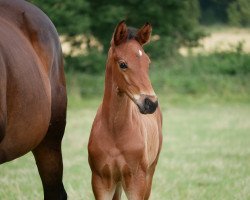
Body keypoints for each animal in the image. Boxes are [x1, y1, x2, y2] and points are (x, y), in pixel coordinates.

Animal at [88, 20, 162, 200]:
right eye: (123, 64)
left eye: (148, 63)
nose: (150, 103)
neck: (116, 131)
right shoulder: (101, 181)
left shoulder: (136, 182)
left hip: (149, 174)